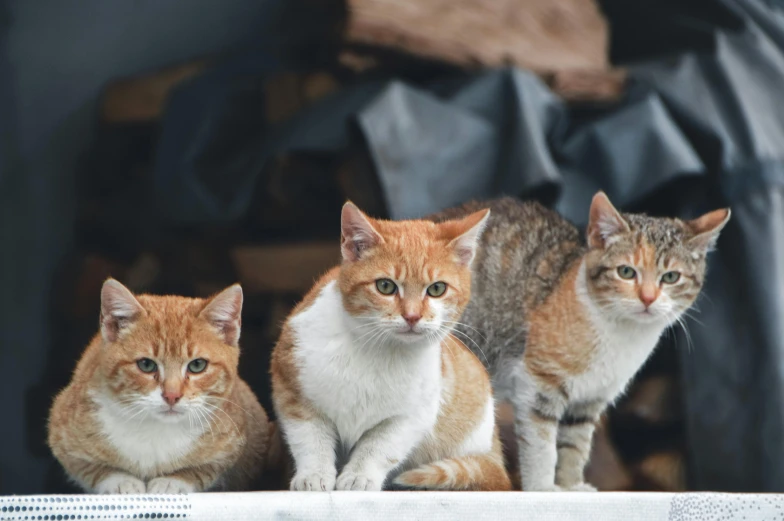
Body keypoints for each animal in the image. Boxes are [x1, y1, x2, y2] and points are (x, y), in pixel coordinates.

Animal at [47, 280, 272, 492]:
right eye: (146, 365)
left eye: (197, 365)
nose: (172, 395)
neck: (156, 430)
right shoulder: (61, 434)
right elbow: (91, 468)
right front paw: (122, 482)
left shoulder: (231, 447)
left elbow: (203, 469)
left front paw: (172, 481)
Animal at [270, 201, 512, 490]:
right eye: (385, 286)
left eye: (437, 289)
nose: (412, 316)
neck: (377, 351)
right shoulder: (293, 390)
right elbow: (310, 440)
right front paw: (313, 475)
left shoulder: (410, 416)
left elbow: (378, 447)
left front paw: (360, 476)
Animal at [428, 192, 728, 492]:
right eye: (626, 272)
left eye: (671, 277)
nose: (648, 297)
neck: (622, 335)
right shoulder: (538, 382)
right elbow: (542, 445)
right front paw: (542, 488)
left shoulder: (591, 399)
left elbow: (575, 446)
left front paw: (570, 485)